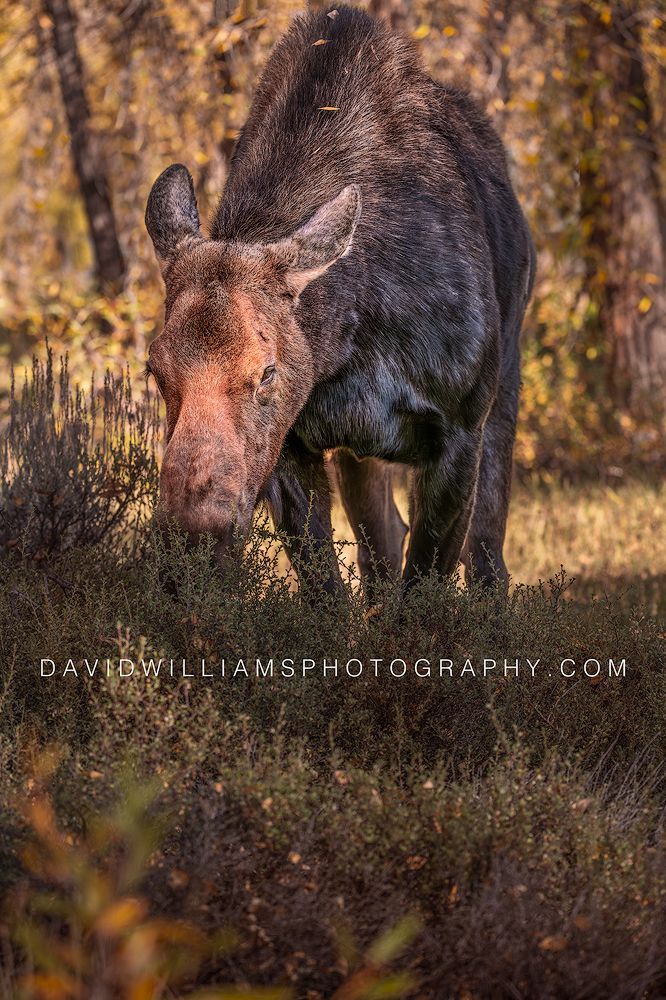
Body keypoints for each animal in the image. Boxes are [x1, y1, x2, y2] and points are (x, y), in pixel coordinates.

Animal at [144, 5, 536, 599]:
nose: (192, 542)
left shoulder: (459, 433)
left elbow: (426, 588)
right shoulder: (292, 449)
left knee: (488, 554)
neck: (347, 345)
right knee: (382, 544)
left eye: (268, 372)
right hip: (361, 453)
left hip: (503, 387)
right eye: (154, 369)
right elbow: (326, 588)